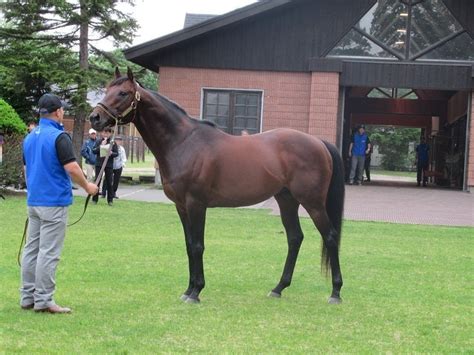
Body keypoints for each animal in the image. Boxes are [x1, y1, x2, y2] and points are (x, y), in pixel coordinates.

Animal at [89, 68, 346, 304]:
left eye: (123, 93)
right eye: (107, 89)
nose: (95, 117)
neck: (183, 143)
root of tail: (318, 142)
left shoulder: (196, 204)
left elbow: (198, 245)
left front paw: (196, 292)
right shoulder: (181, 206)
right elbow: (189, 244)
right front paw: (188, 290)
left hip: (312, 203)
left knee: (330, 236)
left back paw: (335, 292)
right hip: (287, 200)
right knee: (294, 238)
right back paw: (278, 288)